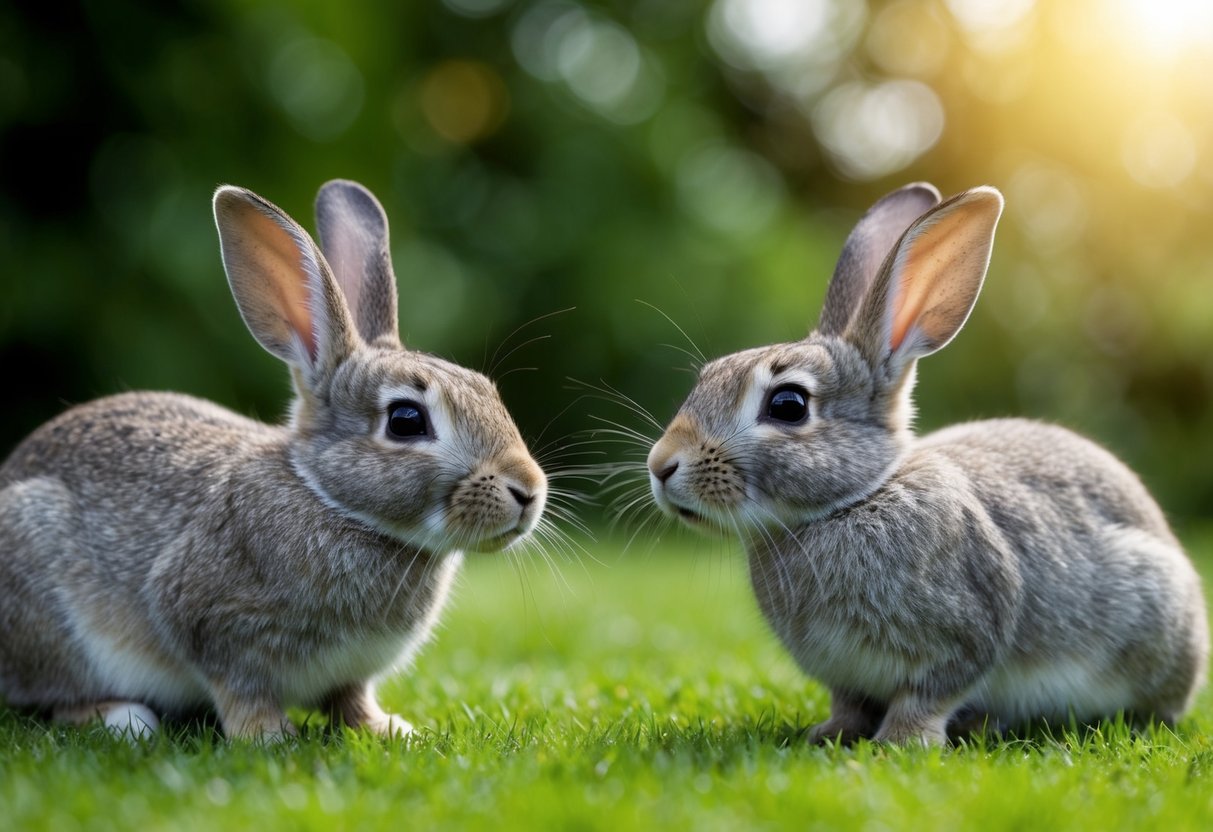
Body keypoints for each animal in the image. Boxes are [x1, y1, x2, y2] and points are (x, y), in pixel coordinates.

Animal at [0, 179, 547, 740]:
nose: (528, 490)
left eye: (488, 390)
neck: (330, 500)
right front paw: (269, 736)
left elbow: (352, 698)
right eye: (406, 420)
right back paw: (122, 717)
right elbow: (240, 690)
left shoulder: (351, 672)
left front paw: (387, 729)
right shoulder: (208, 622)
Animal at [646, 183, 1208, 746]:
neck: (855, 500)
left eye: (788, 405)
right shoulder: (846, 675)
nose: (661, 465)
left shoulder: (966, 634)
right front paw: (831, 733)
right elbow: (849, 702)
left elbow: (929, 694)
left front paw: (899, 743)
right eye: (707, 376)